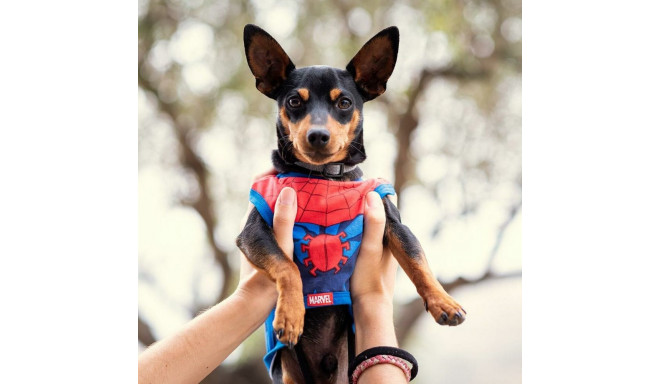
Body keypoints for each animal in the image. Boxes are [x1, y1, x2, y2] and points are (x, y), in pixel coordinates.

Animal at [235, 25, 466, 382]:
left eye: (344, 102)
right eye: (293, 101)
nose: (317, 135)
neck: (326, 177)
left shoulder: (394, 223)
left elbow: (417, 262)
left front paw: (444, 302)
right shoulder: (253, 232)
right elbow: (287, 265)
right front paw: (290, 315)